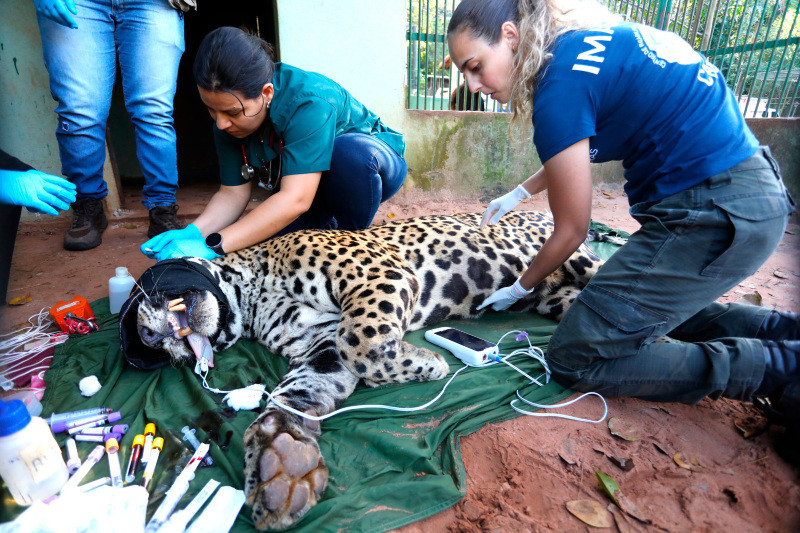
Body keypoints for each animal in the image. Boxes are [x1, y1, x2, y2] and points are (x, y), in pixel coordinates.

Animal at [132, 211, 611, 530]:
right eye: (151, 346)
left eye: (143, 300)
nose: (151, 338)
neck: (249, 297)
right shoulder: (319, 342)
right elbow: (300, 390)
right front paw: (281, 456)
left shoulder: (378, 273)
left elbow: (360, 339)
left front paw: (428, 363)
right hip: (556, 297)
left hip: (574, 258)